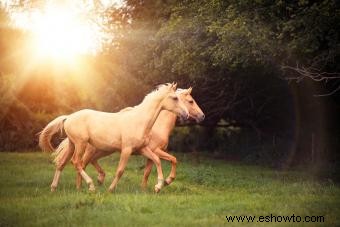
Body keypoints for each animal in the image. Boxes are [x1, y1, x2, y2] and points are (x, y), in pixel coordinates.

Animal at [40, 82, 190, 192]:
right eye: (175, 98)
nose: (186, 114)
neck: (139, 121)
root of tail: (68, 117)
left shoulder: (142, 149)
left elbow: (157, 160)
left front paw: (159, 186)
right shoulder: (127, 150)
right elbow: (120, 170)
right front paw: (111, 189)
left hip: (73, 144)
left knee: (62, 163)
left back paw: (54, 188)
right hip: (80, 144)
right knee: (77, 162)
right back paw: (91, 186)